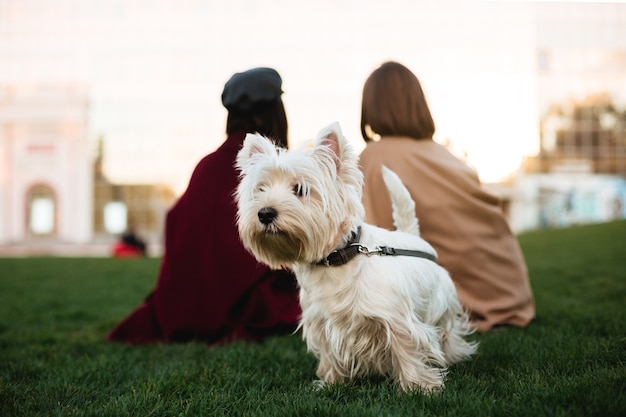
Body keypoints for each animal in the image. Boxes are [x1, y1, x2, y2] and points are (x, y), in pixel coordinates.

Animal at [236, 122, 476, 392]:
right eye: (260, 189)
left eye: (301, 189)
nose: (265, 213)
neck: (335, 260)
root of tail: (413, 237)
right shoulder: (323, 322)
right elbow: (330, 352)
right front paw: (331, 383)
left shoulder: (397, 318)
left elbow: (407, 348)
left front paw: (419, 387)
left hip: (442, 305)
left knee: (447, 332)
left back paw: (453, 355)